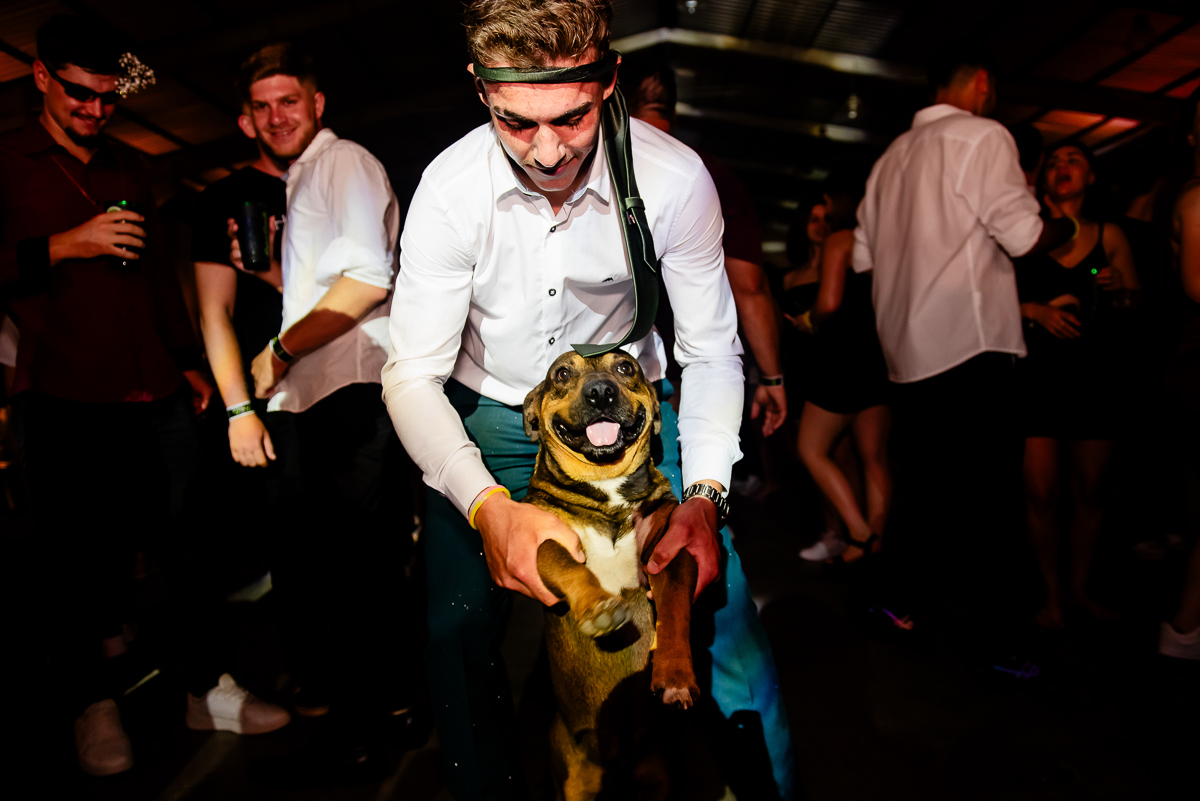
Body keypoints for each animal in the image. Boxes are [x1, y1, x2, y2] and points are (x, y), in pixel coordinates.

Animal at [522, 349, 701, 800]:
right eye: (561, 374)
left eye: (625, 367)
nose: (601, 392)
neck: (608, 491)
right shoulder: (546, 541)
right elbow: (567, 565)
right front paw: (599, 607)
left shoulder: (670, 552)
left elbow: (675, 611)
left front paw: (675, 674)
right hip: (574, 781)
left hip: (656, 779)